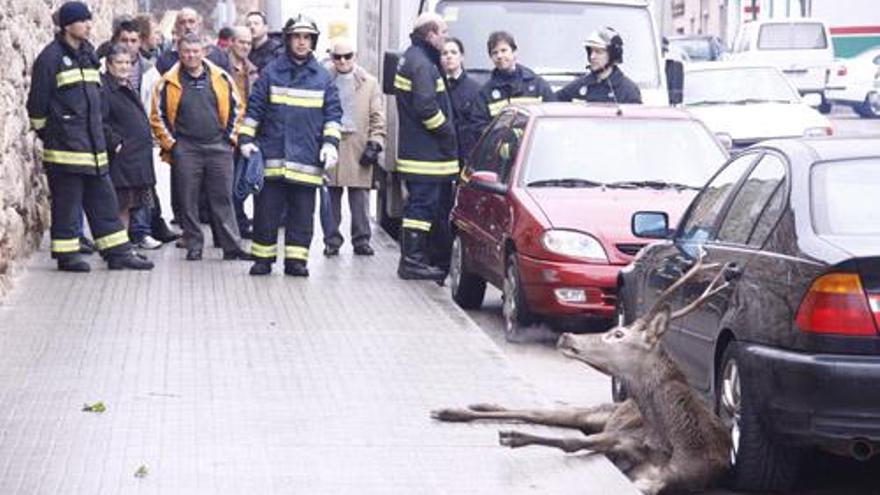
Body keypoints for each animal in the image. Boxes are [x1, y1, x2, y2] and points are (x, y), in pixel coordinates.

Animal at [434, 254, 736, 494]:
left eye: (618, 334)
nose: (566, 336)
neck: (671, 442)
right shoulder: (619, 437)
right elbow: (573, 441)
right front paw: (515, 436)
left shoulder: (659, 479)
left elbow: (573, 442)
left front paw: (514, 436)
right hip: (599, 413)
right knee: (540, 412)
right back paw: (462, 409)